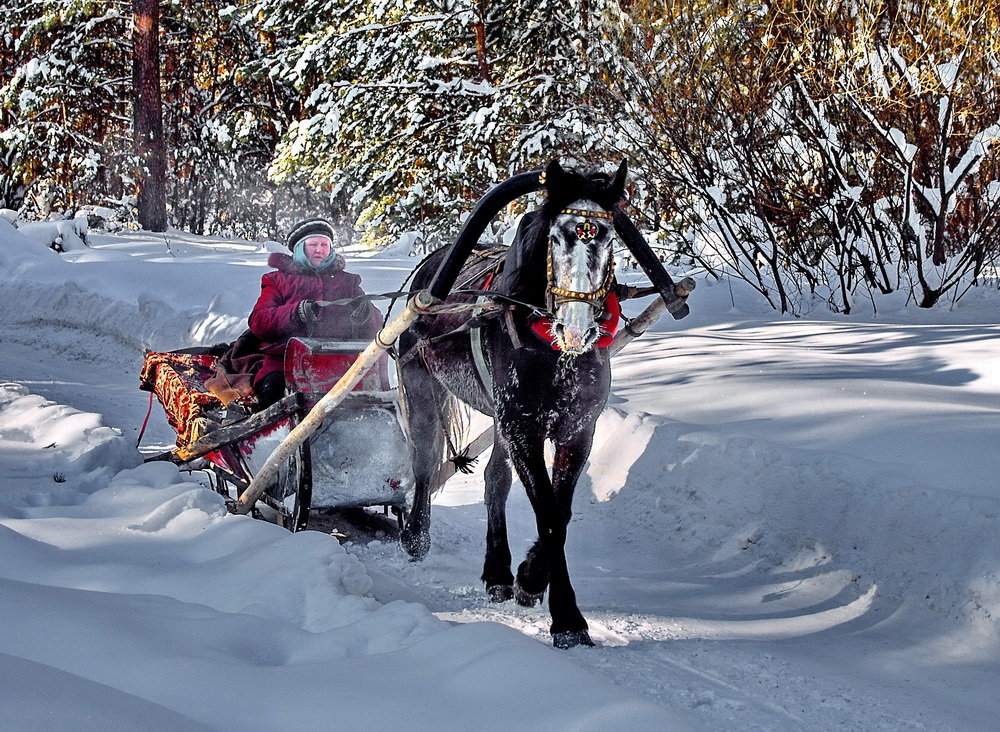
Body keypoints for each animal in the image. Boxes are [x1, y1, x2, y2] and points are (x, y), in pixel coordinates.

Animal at [394, 159, 684, 648]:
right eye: (555, 237)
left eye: (611, 238)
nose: (576, 328)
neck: (552, 350)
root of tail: (429, 268)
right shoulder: (522, 427)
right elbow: (547, 512)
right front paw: (566, 618)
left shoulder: (576, 428)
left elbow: (560, 513)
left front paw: (530, 577)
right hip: (423, 387)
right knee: (425, 461)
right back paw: (416, 535)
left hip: (497, 418)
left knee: (494, 480)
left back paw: (497, 570)